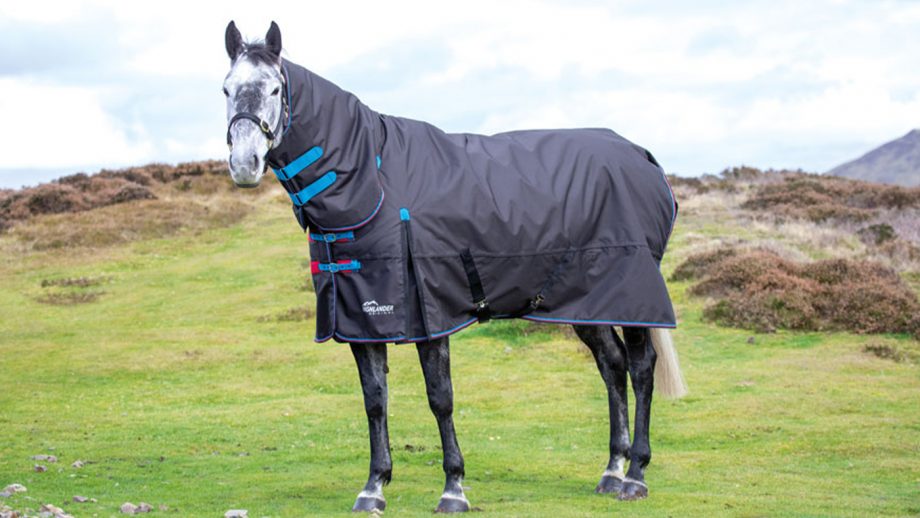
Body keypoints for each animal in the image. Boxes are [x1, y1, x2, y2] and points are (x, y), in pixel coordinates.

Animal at [222, 20, 686, 513]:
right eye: (227, 88)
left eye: (274, 88)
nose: (244, 164)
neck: (373, 182)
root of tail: (642, 157)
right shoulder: (362, 319)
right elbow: (375, 400)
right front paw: (373, 487)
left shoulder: (430, 313)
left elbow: (439, 398)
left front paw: (453, 488)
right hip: (586, 301)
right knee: (612, 365)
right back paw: (612, 470)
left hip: (632, 294)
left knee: (641, 368)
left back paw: (635, 475)